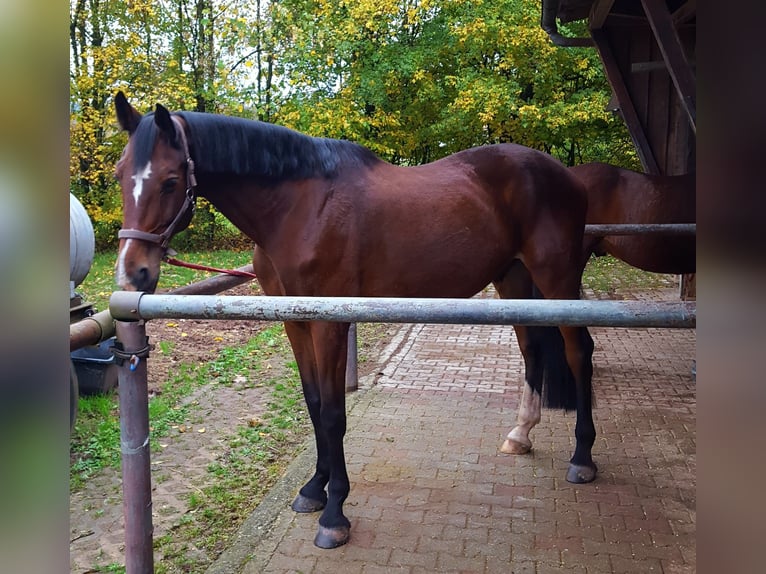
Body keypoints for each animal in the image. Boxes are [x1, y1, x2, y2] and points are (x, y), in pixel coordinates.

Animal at [112, 92, 592, 552]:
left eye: (170, 180)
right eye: (120, 175)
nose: (133, 273)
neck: (299, 208)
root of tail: (565, 176)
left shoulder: (330, 323)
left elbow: (332, 413)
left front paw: (334, 514)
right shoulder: (296, 322)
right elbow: (312, 404)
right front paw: (314, 488)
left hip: (557, 277)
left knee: (578, 351)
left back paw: (582, 457)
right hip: (513, 277)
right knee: (532, 348)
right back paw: (521, 434)